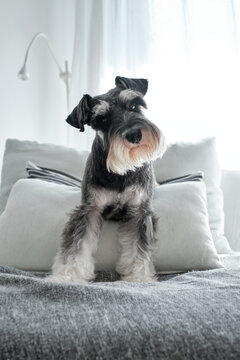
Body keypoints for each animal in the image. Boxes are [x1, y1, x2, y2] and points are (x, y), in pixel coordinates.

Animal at [47, 76, 166, 284]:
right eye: (102, 119)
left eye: (133, 105)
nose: (134, 135)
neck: (121, 171)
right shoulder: (89, 209)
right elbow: (75, 247)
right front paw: (66, 276)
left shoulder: (139, 211)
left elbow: (139, 249)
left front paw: (138, 277)